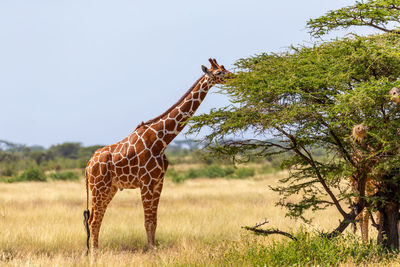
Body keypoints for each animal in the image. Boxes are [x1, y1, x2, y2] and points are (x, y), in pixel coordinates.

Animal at [83, 57, 230, 252]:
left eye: (225, 68)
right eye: (219, 72)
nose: (235, 77)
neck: (161, 140)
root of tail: (87, 166)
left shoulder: (159, 181)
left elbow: (154, 221)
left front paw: (154, 249)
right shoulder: (145, 182)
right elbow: (147, 221)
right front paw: (151, 251)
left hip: (109, 188)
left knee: (95, 218)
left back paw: (94, 251)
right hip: (99, 187)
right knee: (93, 220)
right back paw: (95, 253)